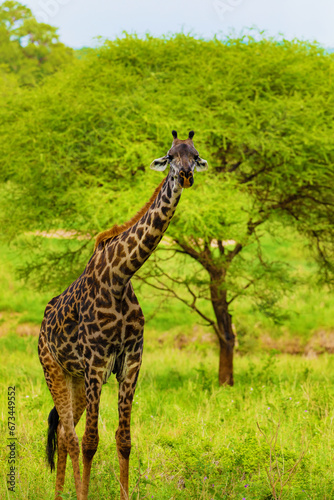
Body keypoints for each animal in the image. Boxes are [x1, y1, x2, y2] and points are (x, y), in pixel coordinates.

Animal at [37, 131, 207, 500]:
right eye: (170, 156)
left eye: (195, 154)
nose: (186, 175)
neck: (120, 275)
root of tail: (41, 327)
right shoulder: (96, 362)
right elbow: (91, 441)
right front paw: (84, 494)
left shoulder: (130, 361)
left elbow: (124, 440)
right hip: (53, 370)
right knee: (70, 436)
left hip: (74, 379)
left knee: (64, 432)